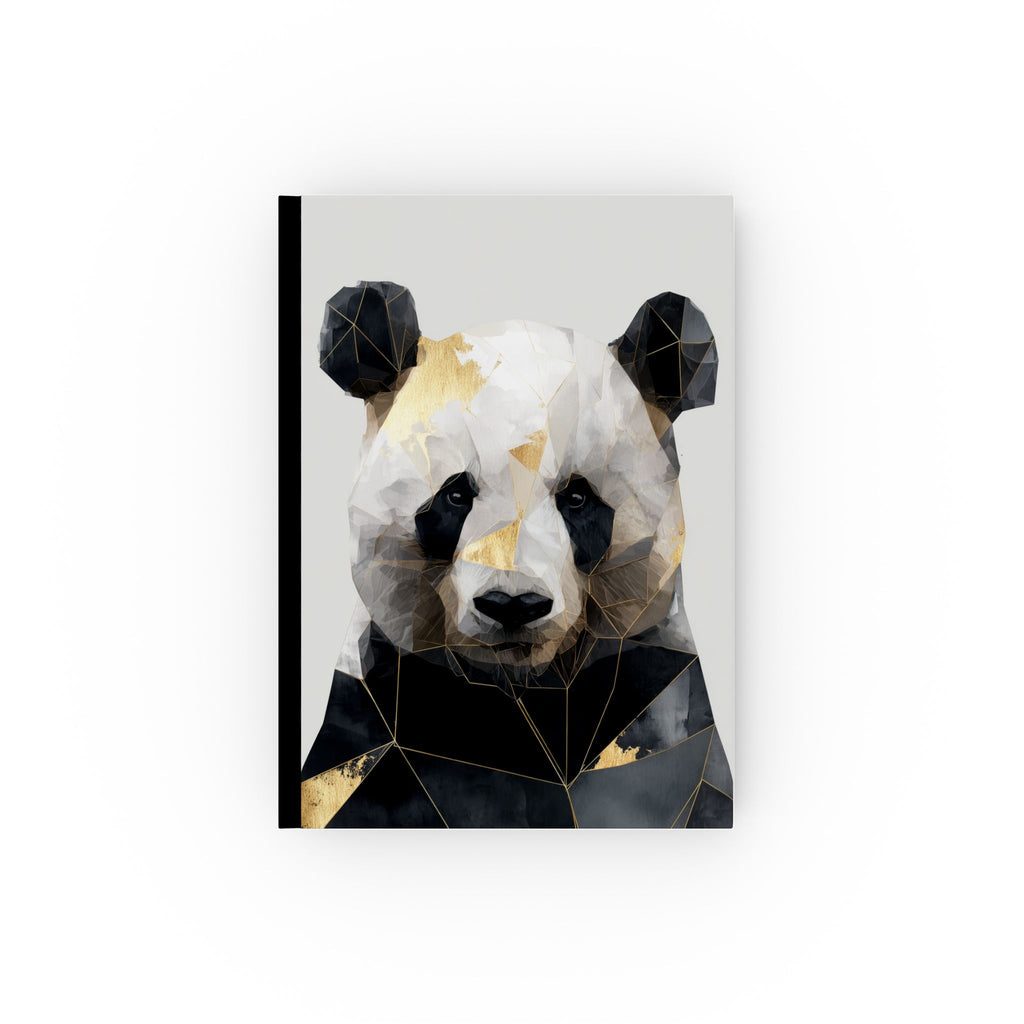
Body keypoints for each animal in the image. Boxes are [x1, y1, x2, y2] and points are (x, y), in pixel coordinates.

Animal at [301, 281, 732, 828]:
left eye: (577, 497)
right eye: (455, 495)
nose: (512, 605)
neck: (523, 693)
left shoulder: (654, 702)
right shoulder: (376, 719)